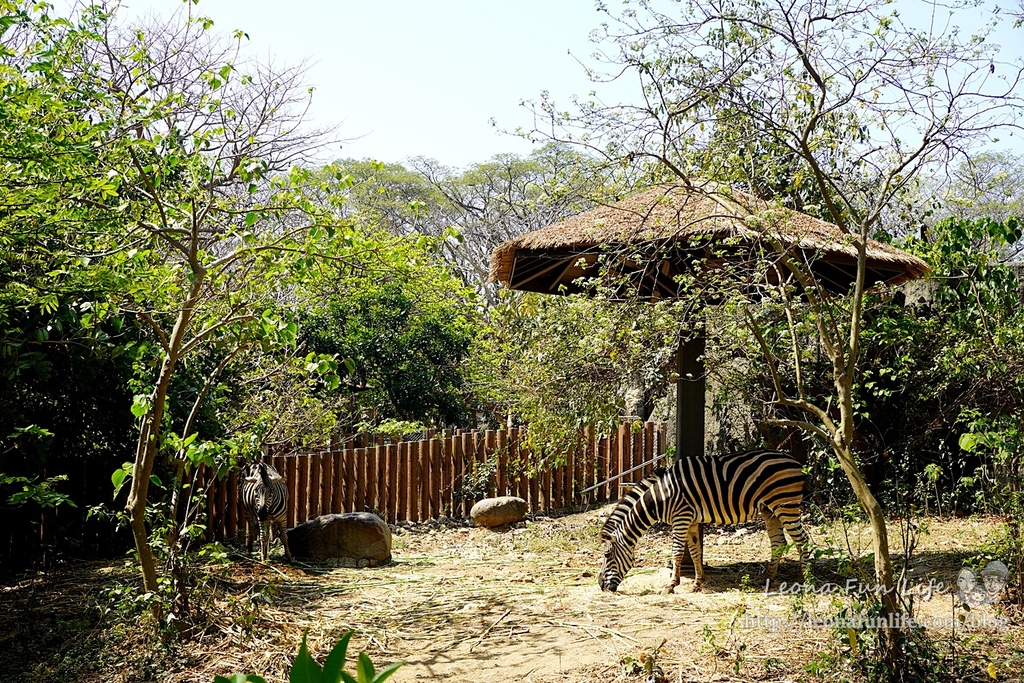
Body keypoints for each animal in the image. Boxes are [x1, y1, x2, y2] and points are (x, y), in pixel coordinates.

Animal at [598, 448, 806, 593]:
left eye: (607, 555)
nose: (600, 585)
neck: (661, 496)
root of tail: (796, 462)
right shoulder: (690, 521)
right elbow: (695, 552)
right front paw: (697, 583)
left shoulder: (681, 517)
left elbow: (677, 552)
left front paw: (671, 585)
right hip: (769, 509)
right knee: (779, 542)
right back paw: (767, 578)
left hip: (785, 505)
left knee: (801, 540)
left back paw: (804, 578)